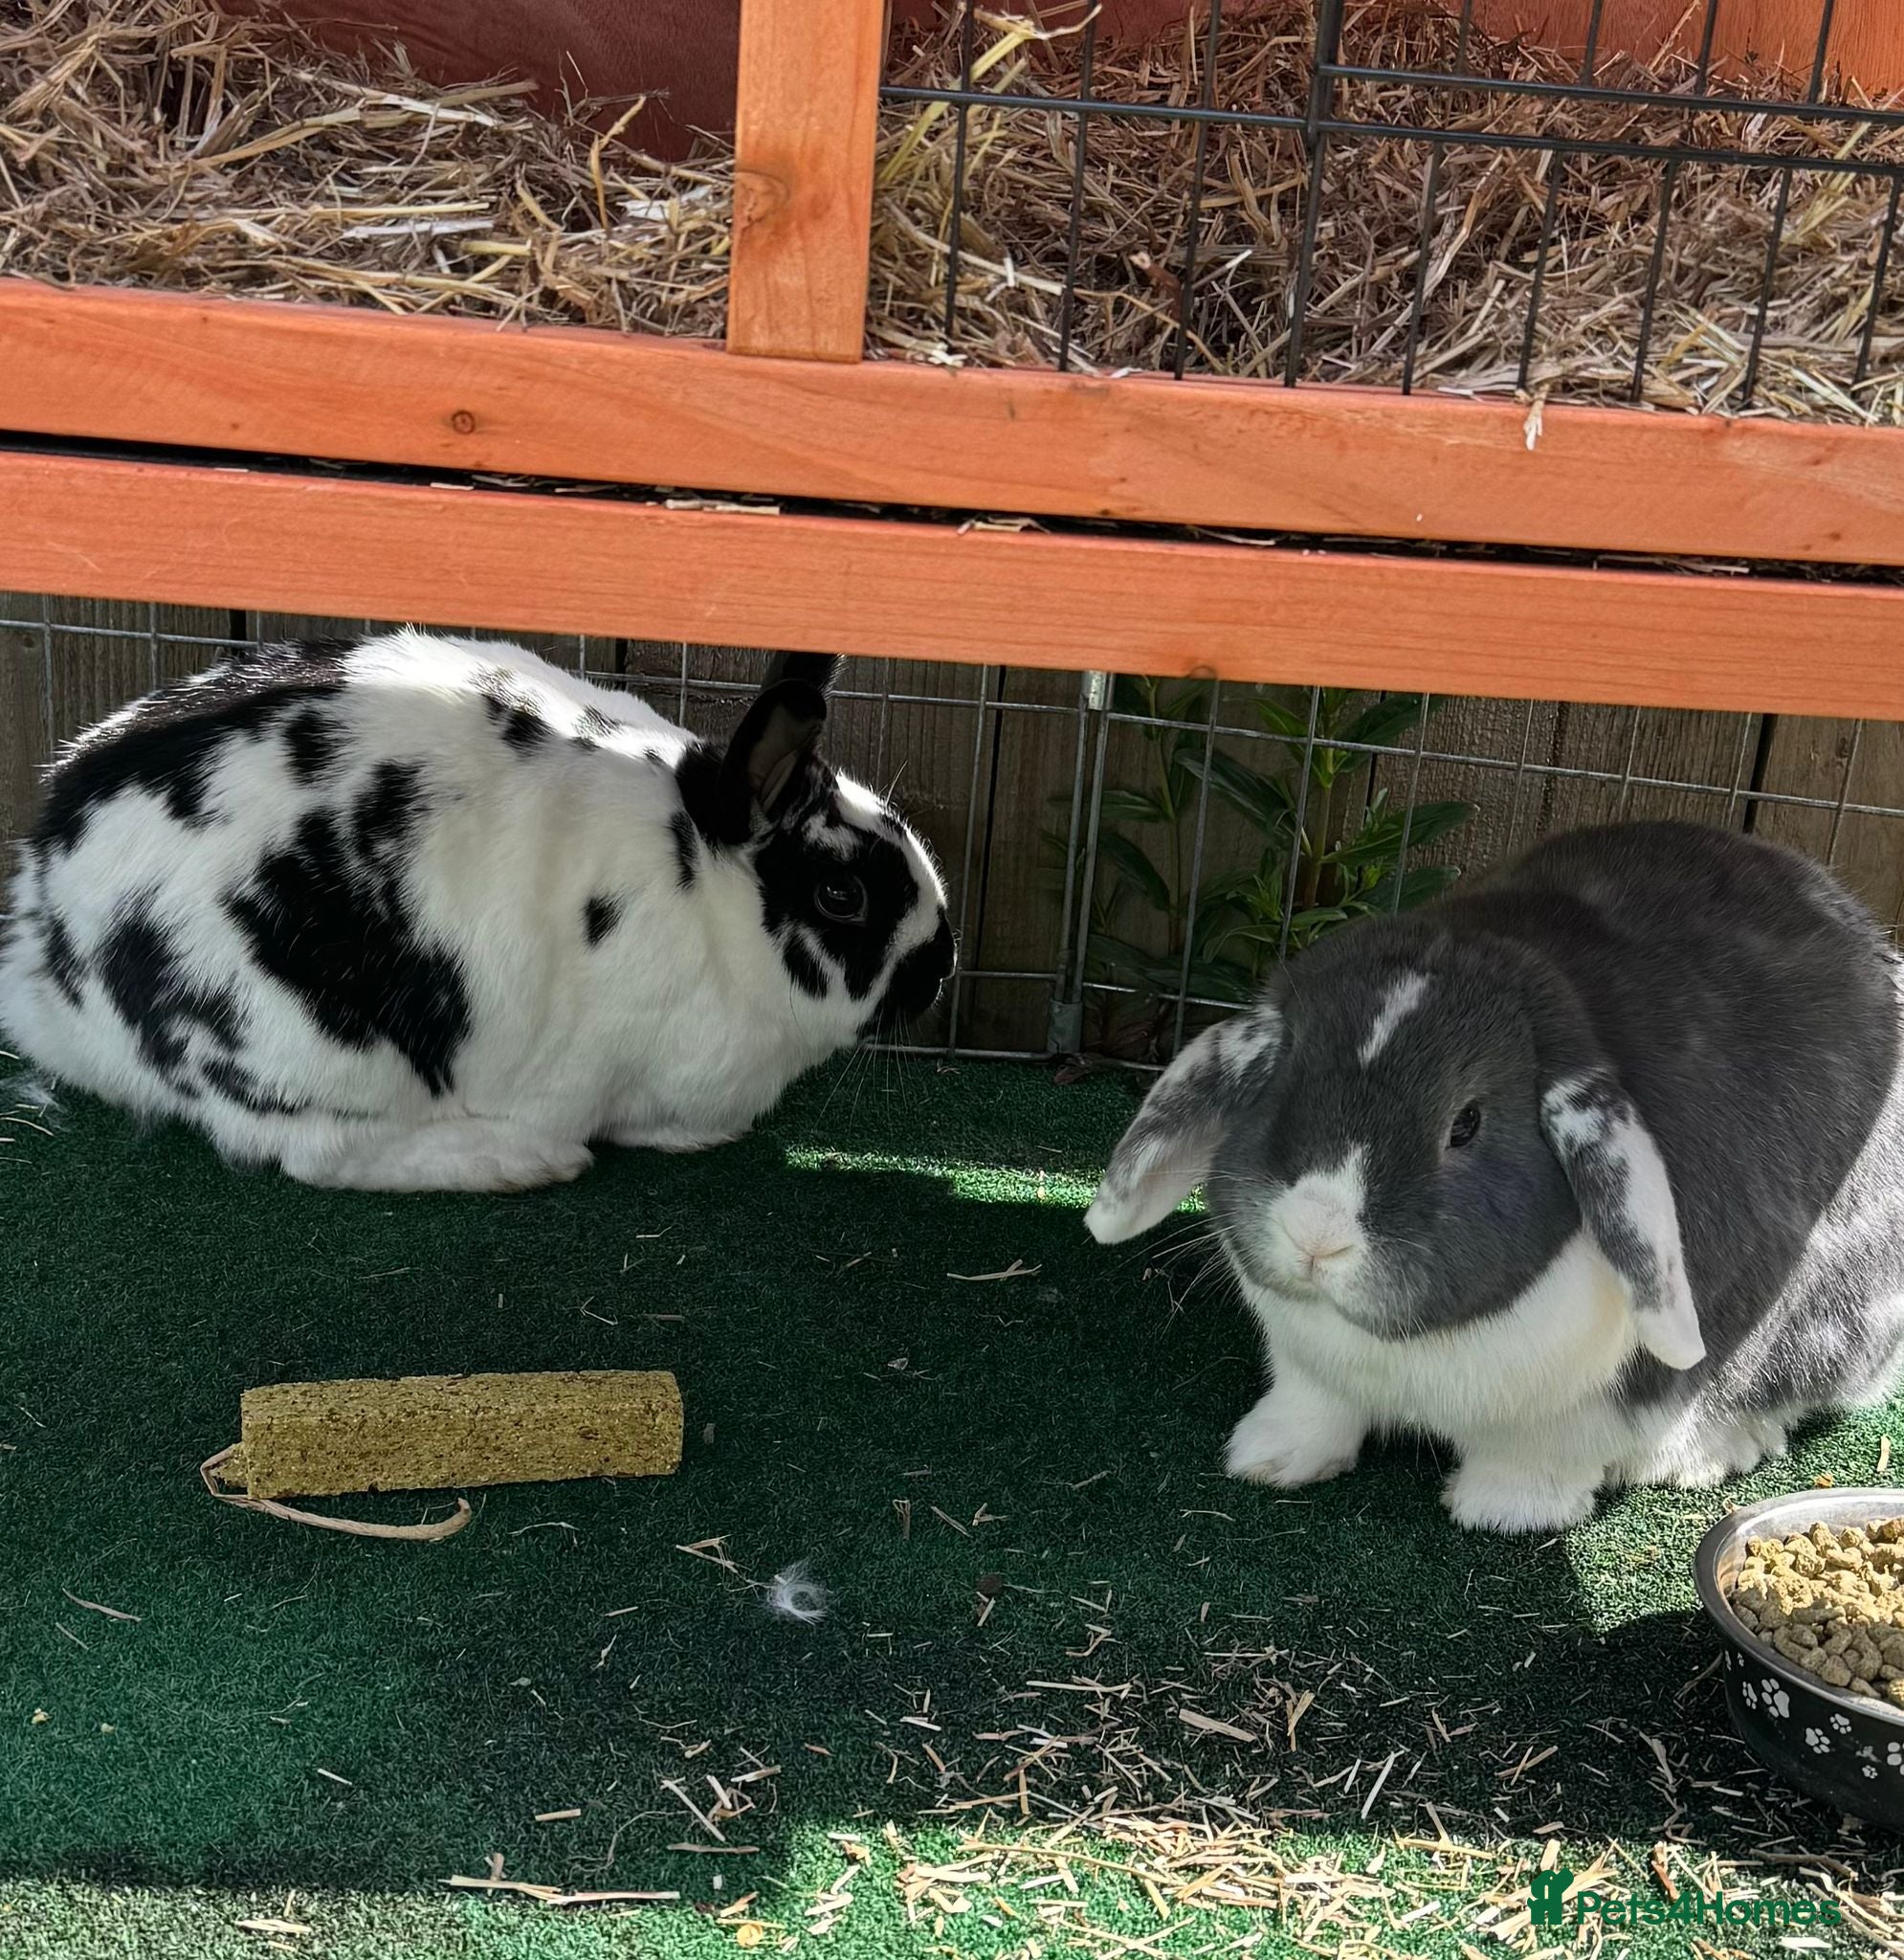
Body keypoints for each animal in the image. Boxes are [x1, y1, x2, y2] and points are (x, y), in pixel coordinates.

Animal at [0, 632, 955, 1192]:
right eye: (842, 896)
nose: (941, 966)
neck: (706, 895)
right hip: (310, 1053)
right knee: (317, 1155)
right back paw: (518, 1162)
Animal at [1083, 820, 1904, 1534]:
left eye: (1466, 1124)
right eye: (1285, 1078)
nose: (1315, 1233)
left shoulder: (1589, 1411)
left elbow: (1538, 1459)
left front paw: (1502, 1512)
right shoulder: (1307, 1368)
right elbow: (1312, 1409)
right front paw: (1268, 1459)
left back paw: (1706, 1452)